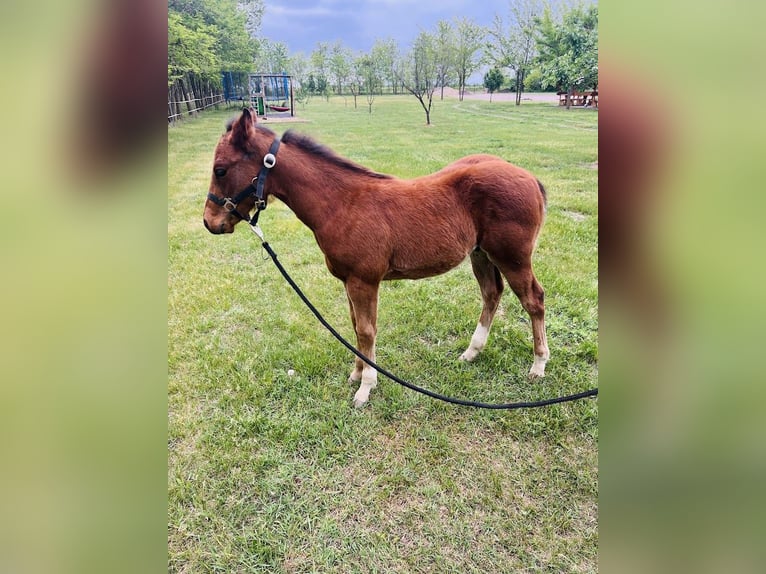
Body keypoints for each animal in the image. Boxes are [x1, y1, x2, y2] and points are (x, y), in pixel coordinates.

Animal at [203, 108, 549, 408]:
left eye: (221, 169)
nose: (210, 222)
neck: (341, 204)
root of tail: (531, 179)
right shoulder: (347, 281)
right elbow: (356, 326)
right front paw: (356, 374)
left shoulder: (364, 280)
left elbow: (367, 330)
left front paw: (366, 387)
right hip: (481, 254)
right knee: (492, 294)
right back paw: (472, 353)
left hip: (513, 257)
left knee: (534, 300)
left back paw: (538, 365)